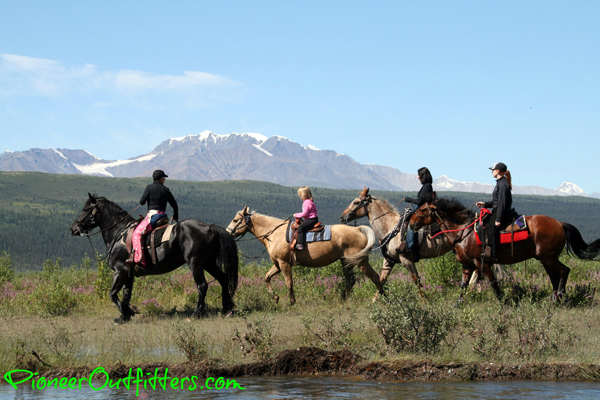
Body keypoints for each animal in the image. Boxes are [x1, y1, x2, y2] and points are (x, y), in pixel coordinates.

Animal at [70, 193, 239, 322]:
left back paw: (197, 313)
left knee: (202, 286)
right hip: (208, 263)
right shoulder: (128, 274)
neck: (119, 233)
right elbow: (126, 295)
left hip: (196, 264)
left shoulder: (120, 271)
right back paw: (227, 307)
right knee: (223, 279)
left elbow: (112, 294)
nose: (73, 228)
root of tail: (209, 227)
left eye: (86, 209)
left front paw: (127, 313)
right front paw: (125, 315)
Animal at [225, 208, 384, 304]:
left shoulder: (284, 263)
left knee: (375, 277)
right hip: (346, 261)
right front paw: (275, 297)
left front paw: (291, 301)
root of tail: (357, 229)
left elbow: (289, 282)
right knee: (350, 281)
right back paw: (343, 299)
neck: (274, 234)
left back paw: (380, 298)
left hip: (361, 261)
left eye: (235, 220)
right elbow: (267, 277)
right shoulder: (277, 264)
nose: (228, 232)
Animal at [408, 197, 600, 300]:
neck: (464, 230)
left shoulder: (482, 262)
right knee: (555, 275)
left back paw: (560, 294)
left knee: (564, 271)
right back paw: (555, 298)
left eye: (423, 210)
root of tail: (560, 223)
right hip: (546, 259)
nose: (411, 222)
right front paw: (458, 303)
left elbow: (493, 282)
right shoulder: (467, 265)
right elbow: (463, 285)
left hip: (549, 257)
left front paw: (503, 300)